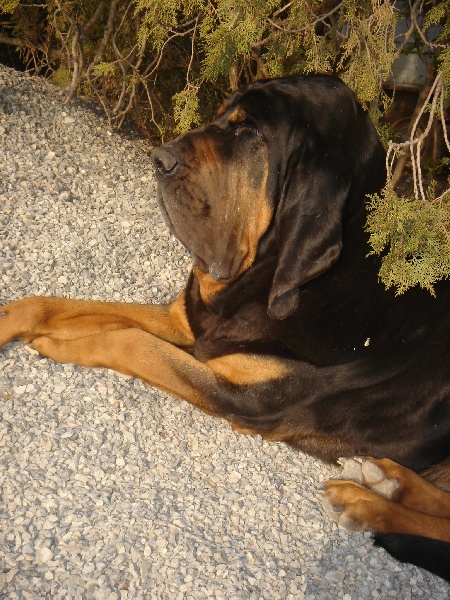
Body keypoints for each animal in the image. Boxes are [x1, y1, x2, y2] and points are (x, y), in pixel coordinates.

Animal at [0, 74, 450, 580]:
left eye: (250, 134)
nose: (159, 159)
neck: (268, 278)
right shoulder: (187, 324)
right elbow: (56, 304)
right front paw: (13, 320)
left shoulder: (249, 401)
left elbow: (132, 342)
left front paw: (57, 343)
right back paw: (386, 479)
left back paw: (368, 504)